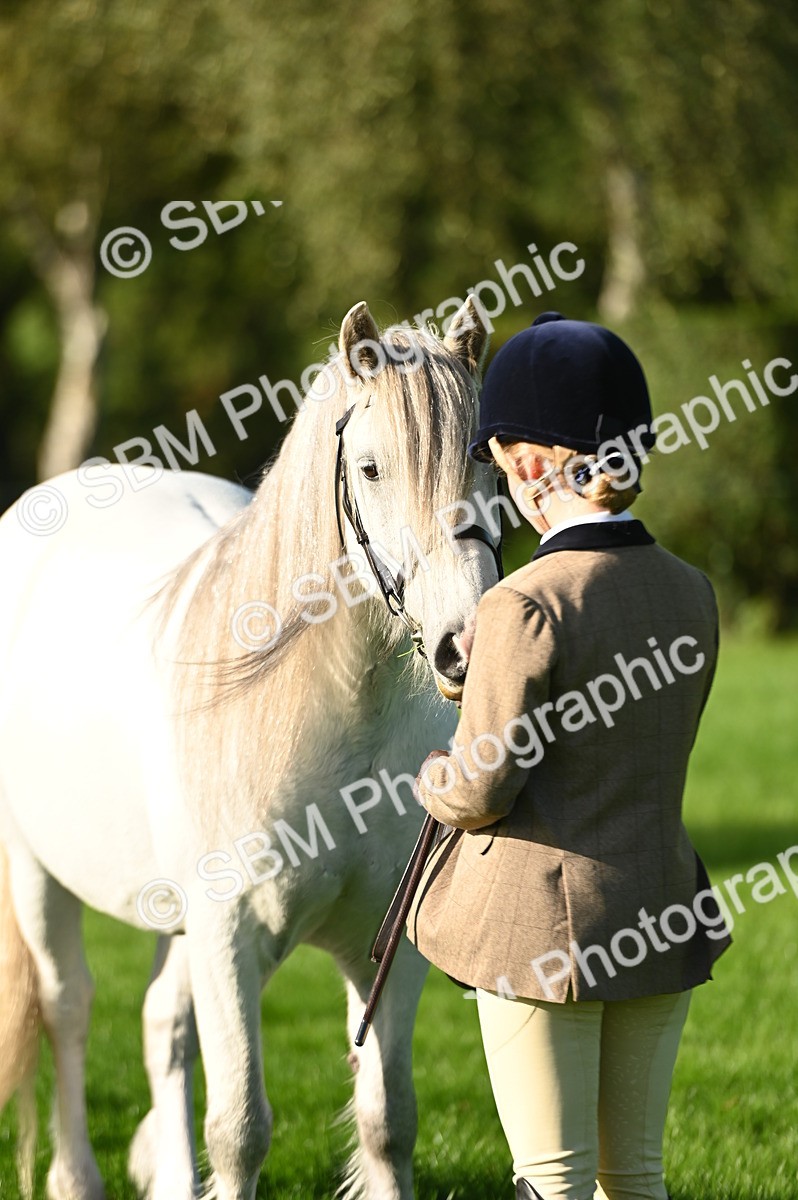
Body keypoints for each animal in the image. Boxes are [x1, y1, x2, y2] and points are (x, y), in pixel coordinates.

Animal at [0, 297, 502, 1200]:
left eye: (492, 470)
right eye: (371, 469)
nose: (465, 645)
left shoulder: (383, 952)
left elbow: (388, 1123)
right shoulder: (229, 937)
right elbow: (239, 1129)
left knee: (162, 1023)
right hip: (36, 875)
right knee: (68, 1008)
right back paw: (77, 1176)